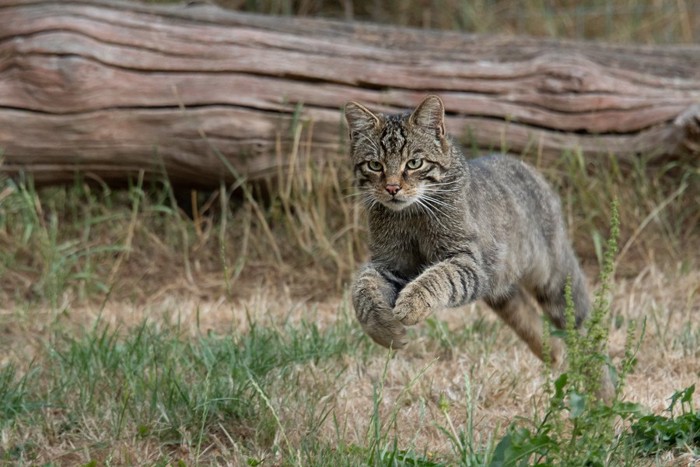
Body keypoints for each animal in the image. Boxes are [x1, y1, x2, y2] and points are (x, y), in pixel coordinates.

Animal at [344, 95, 612, 402]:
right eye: (375, 165)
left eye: (414, 163)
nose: (391, 188)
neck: (410, 216)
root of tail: (523, 164)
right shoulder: (390, 263)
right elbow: (362, 289)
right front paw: (383, 330)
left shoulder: (468, 261)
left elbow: (436, 277)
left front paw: (413, 304)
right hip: (501, 287)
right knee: (526, 315)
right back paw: (553, 353)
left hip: (555, 282)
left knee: (588, 332)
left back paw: (604, 396)